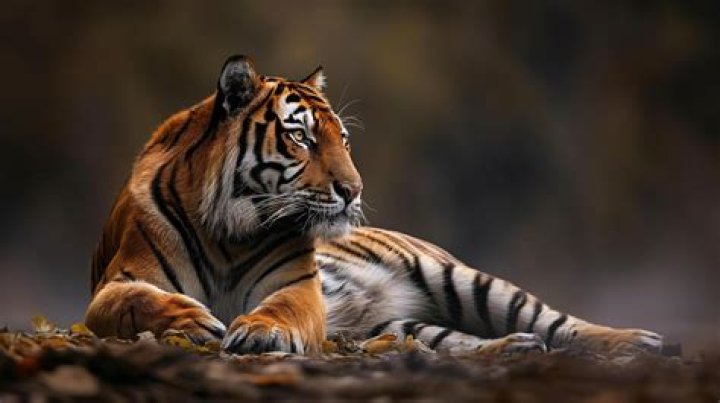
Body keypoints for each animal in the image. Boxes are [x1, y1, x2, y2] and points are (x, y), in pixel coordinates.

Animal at [86, 55, 663, 356]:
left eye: (343, 139)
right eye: (302, 137)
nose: (354, 189)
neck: (230, 229)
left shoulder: (298, 289)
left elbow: (280, 308)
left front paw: (259, 330)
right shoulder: (116, 285)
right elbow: (139, 301)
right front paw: (196, 321)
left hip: (464, 280)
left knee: (558, 322)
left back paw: (639, 340)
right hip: (404, 327)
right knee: (456, 344)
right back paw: (516, 348)